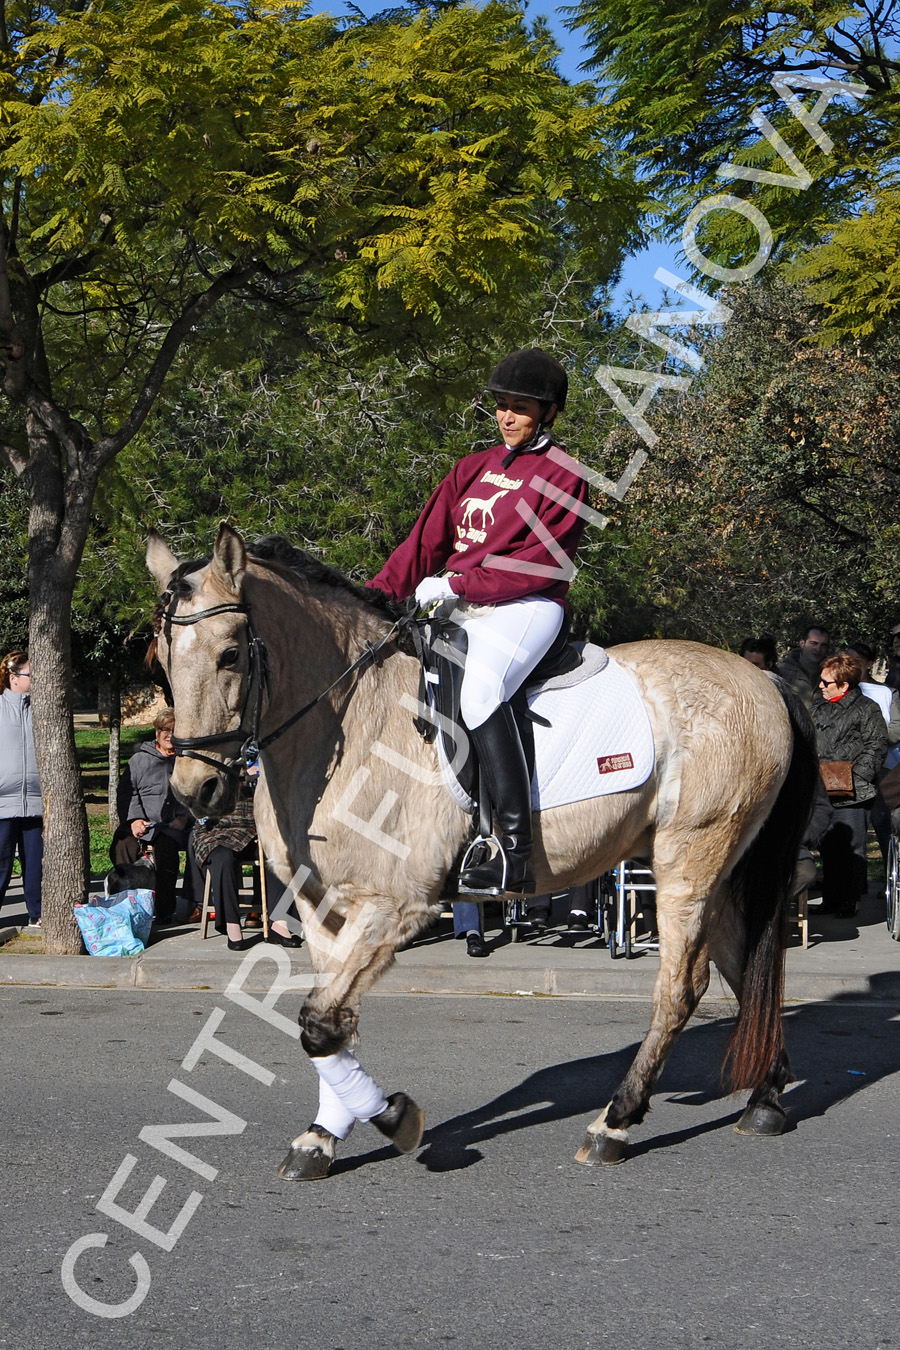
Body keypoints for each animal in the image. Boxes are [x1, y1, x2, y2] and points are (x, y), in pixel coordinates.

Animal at [146, 521, 814, 1177]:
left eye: (231, 653)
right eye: (163, 661)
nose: (195, 791)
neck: (353, 721)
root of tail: (763, 678)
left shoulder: (395, 907)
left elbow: (319, 1024)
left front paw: (393, 1117)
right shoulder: (320, 909)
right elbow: (334, 1024)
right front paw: (323, 1135)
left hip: (690, 859)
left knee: (682, 986)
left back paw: (615, 1123)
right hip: (718, 869)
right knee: (742, 966)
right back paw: (766, 1099)